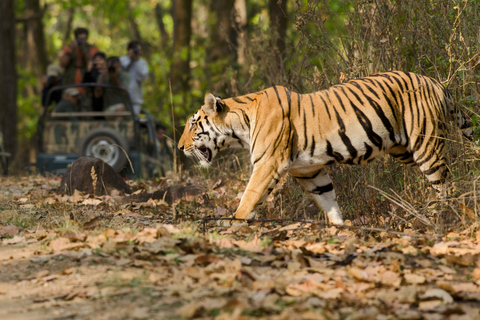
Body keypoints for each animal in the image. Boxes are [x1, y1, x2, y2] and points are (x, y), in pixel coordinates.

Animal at [178, 71, 470, 225]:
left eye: (193, 124)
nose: (180, 147)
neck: (241, 126)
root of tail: (437, 82)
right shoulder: (309, 171)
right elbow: (328, 200)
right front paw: (340, 228)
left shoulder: (267, 164)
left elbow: (249, 196)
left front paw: (234, 221)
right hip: (402, 150)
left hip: (426, 144)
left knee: (446, 184)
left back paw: (443, 216)